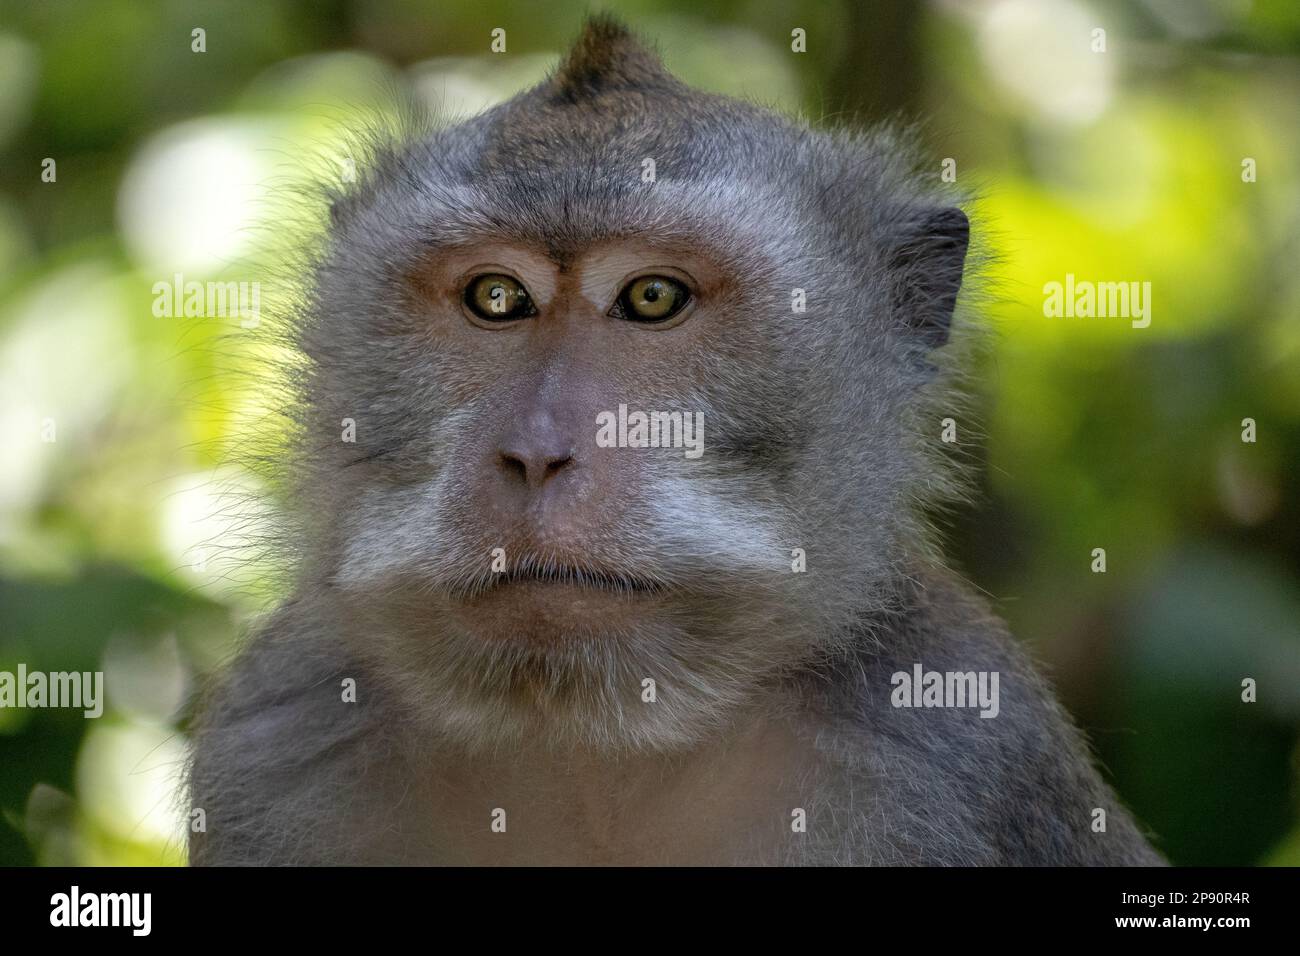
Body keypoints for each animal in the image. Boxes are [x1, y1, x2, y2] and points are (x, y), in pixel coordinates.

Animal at [187, 15, 1164, 866]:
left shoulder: (949, 753)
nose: (536, 452)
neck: (591, 746)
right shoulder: (275, 745)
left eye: (653, 297)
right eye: (497, 297)